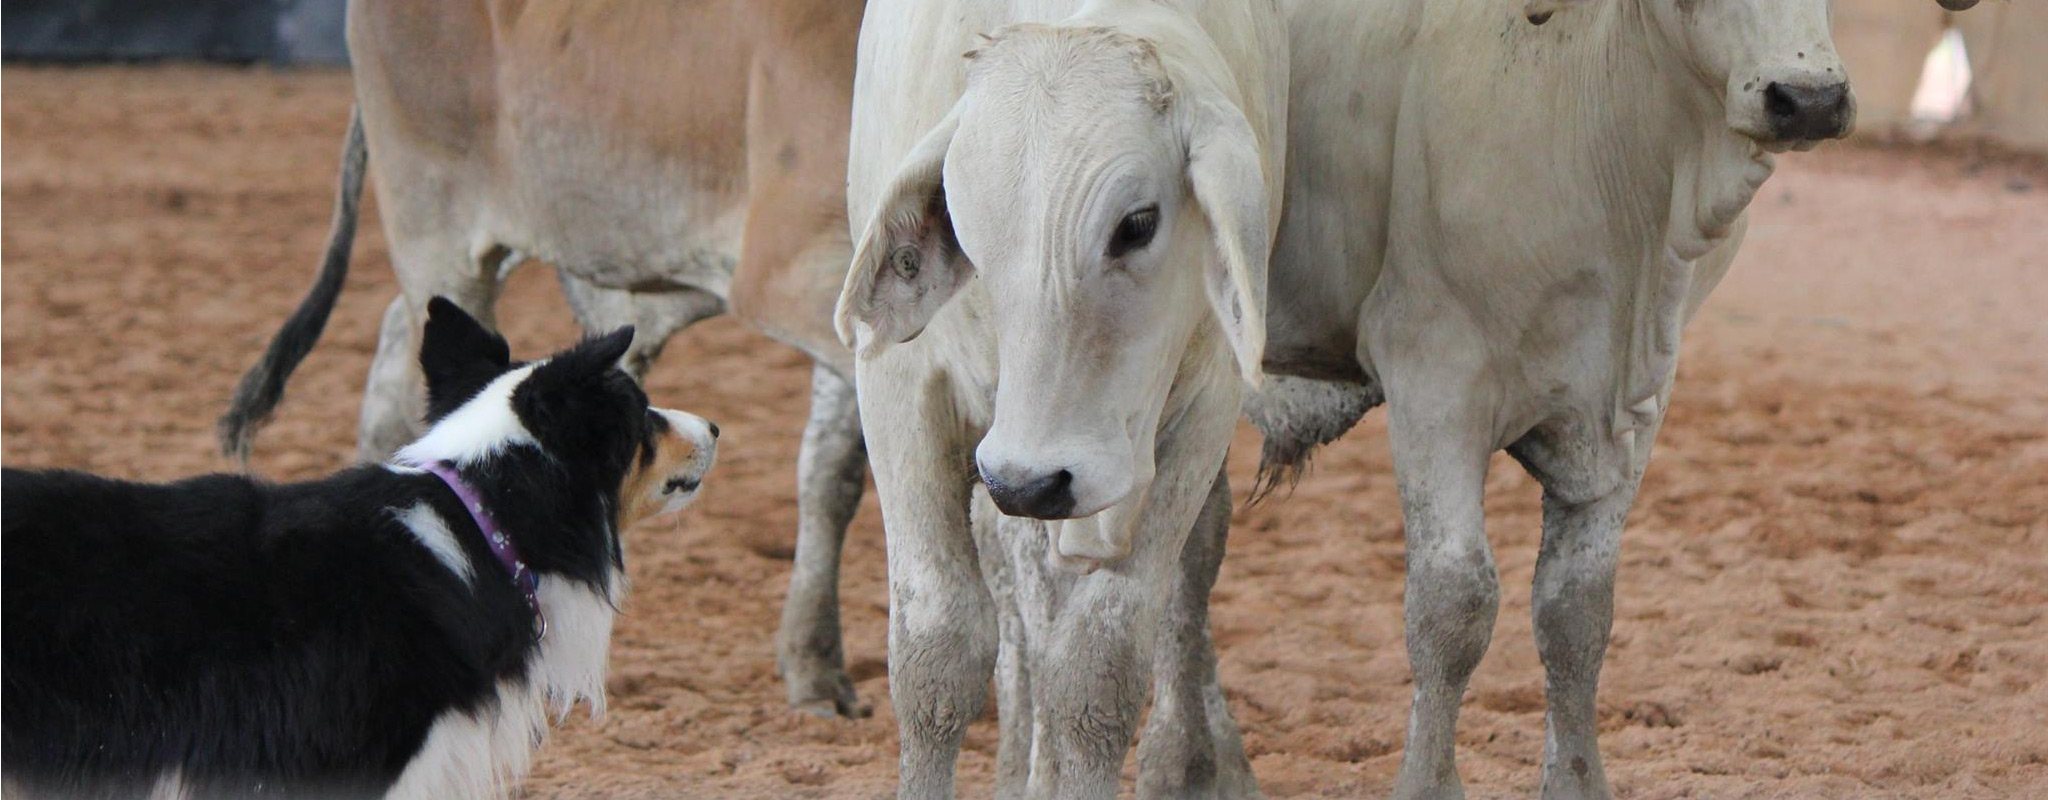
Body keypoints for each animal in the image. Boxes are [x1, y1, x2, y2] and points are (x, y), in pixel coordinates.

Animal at [839, 0, 1286, 793]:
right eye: (967, 231)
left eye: (1136, 224)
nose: (1030, 480)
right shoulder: (900, 392)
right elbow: (936, 655)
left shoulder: (1204, 412)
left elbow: (1095, 674)